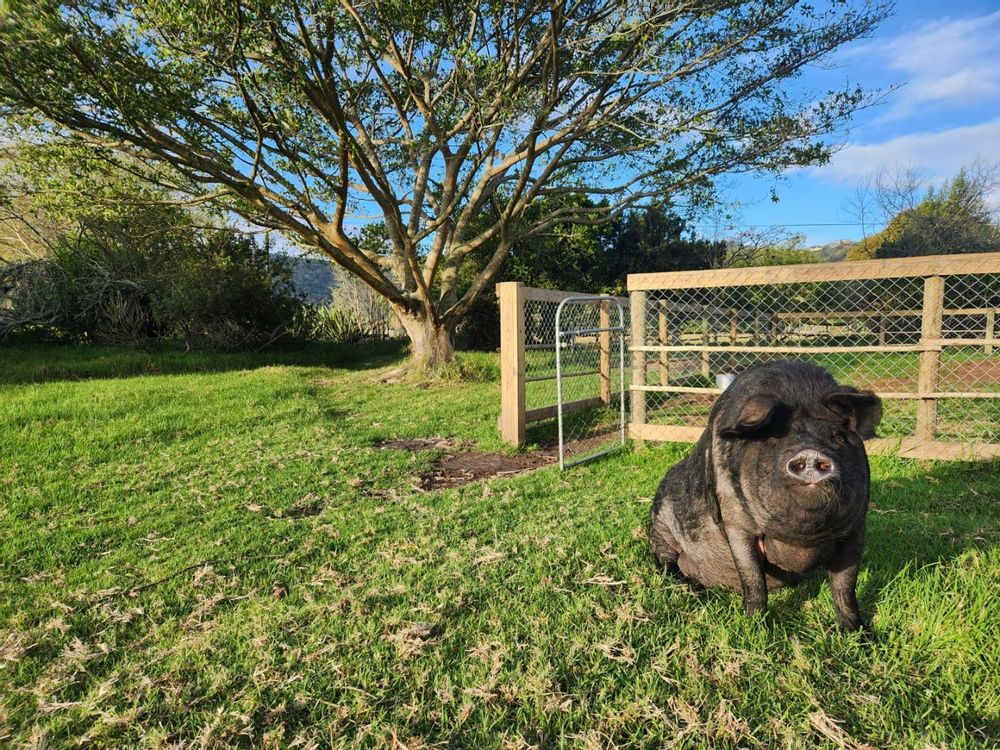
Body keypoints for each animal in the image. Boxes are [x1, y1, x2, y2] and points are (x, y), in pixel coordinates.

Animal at [648, 360, 881, 631]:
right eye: (774, 438)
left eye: (838, 437)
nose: (811, 453)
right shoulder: (736, 521)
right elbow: (752, 577)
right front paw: (754, 625)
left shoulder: (855, 528)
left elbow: (845, 583)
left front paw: (859, 632)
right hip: (659, 525)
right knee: (667, 560)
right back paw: (690, 587)